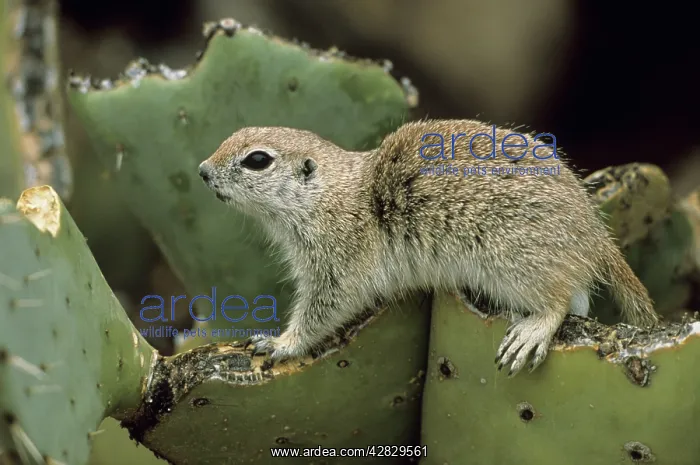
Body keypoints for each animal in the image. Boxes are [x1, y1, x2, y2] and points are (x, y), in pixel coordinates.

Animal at [198, 119, 660, 376]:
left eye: (257, 160)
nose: (202, 170)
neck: (332, 193)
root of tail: (593, 231)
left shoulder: (338, 262)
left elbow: (322, 311)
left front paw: (280, 343)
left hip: (515, 261)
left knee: (559, 301)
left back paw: (534, 329)